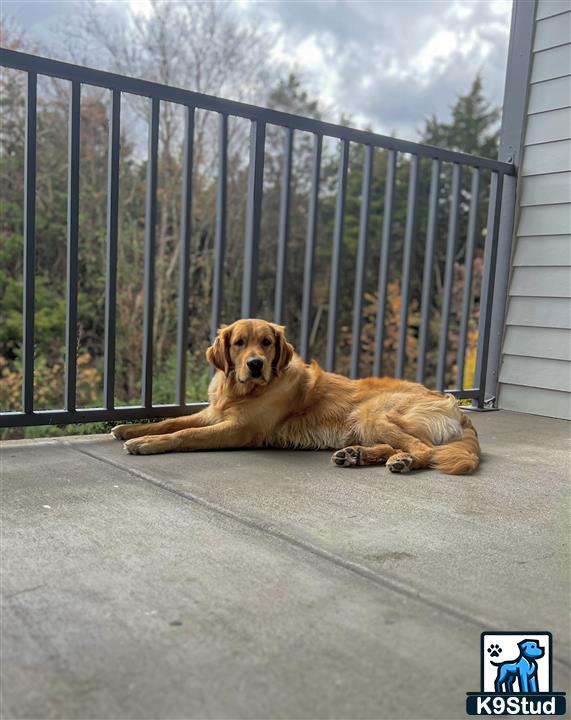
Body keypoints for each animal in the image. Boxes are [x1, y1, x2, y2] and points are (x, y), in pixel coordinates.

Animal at [110, 320, 478, 476]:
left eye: (266, 342)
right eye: (239, 343)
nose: (255, 364)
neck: (241, 391)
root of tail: (455, 407)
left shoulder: (239, 430)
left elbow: (184, 433)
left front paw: (145, 444)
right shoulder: (213, 413)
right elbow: (170, 420)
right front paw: (129, 430)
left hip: (371, 413)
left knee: (423, 449)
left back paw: (402, 461)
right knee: (397, 445)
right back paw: (356, 455)